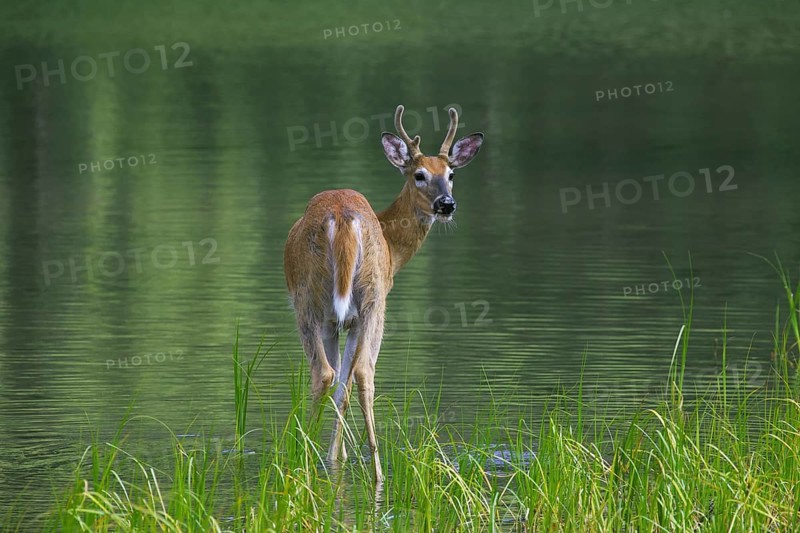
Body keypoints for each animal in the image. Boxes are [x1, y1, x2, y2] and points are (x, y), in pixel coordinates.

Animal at [283, 104, 483, 482]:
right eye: (419, 175)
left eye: (451, 174)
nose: (446, 204)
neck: (393, 248)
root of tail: (342, 217)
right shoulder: (346, 319)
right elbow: (344, 384)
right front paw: (337, 456)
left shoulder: (340, 321)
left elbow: (342, 385)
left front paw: (336, 455)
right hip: (368, 301)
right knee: (356, 373)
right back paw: (368, 468)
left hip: (324, 302)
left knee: (334, 374)